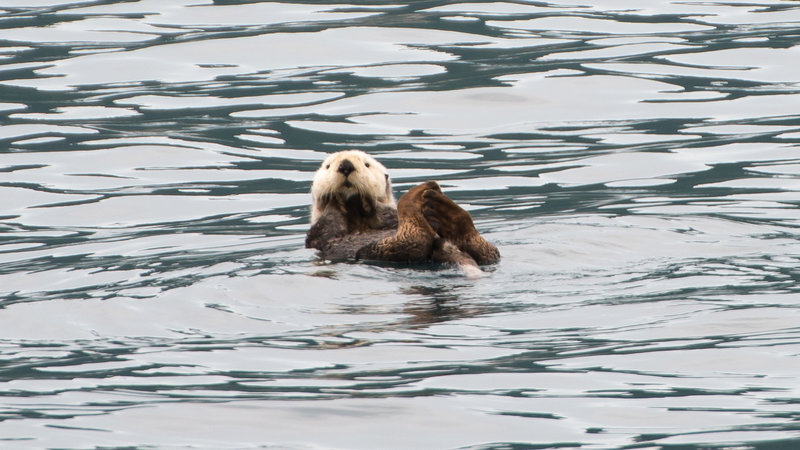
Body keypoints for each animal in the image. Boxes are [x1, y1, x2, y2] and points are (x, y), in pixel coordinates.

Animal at [308, 149, 500, 272]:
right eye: (328, 166)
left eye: (366, 164)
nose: (345, 165)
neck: (358, 215)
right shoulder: (319, 233)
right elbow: (329, 223)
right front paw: (334, 200)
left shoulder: (388, 215)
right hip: (380, 251)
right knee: (416, 238)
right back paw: (417, 199)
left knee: (487, 252)